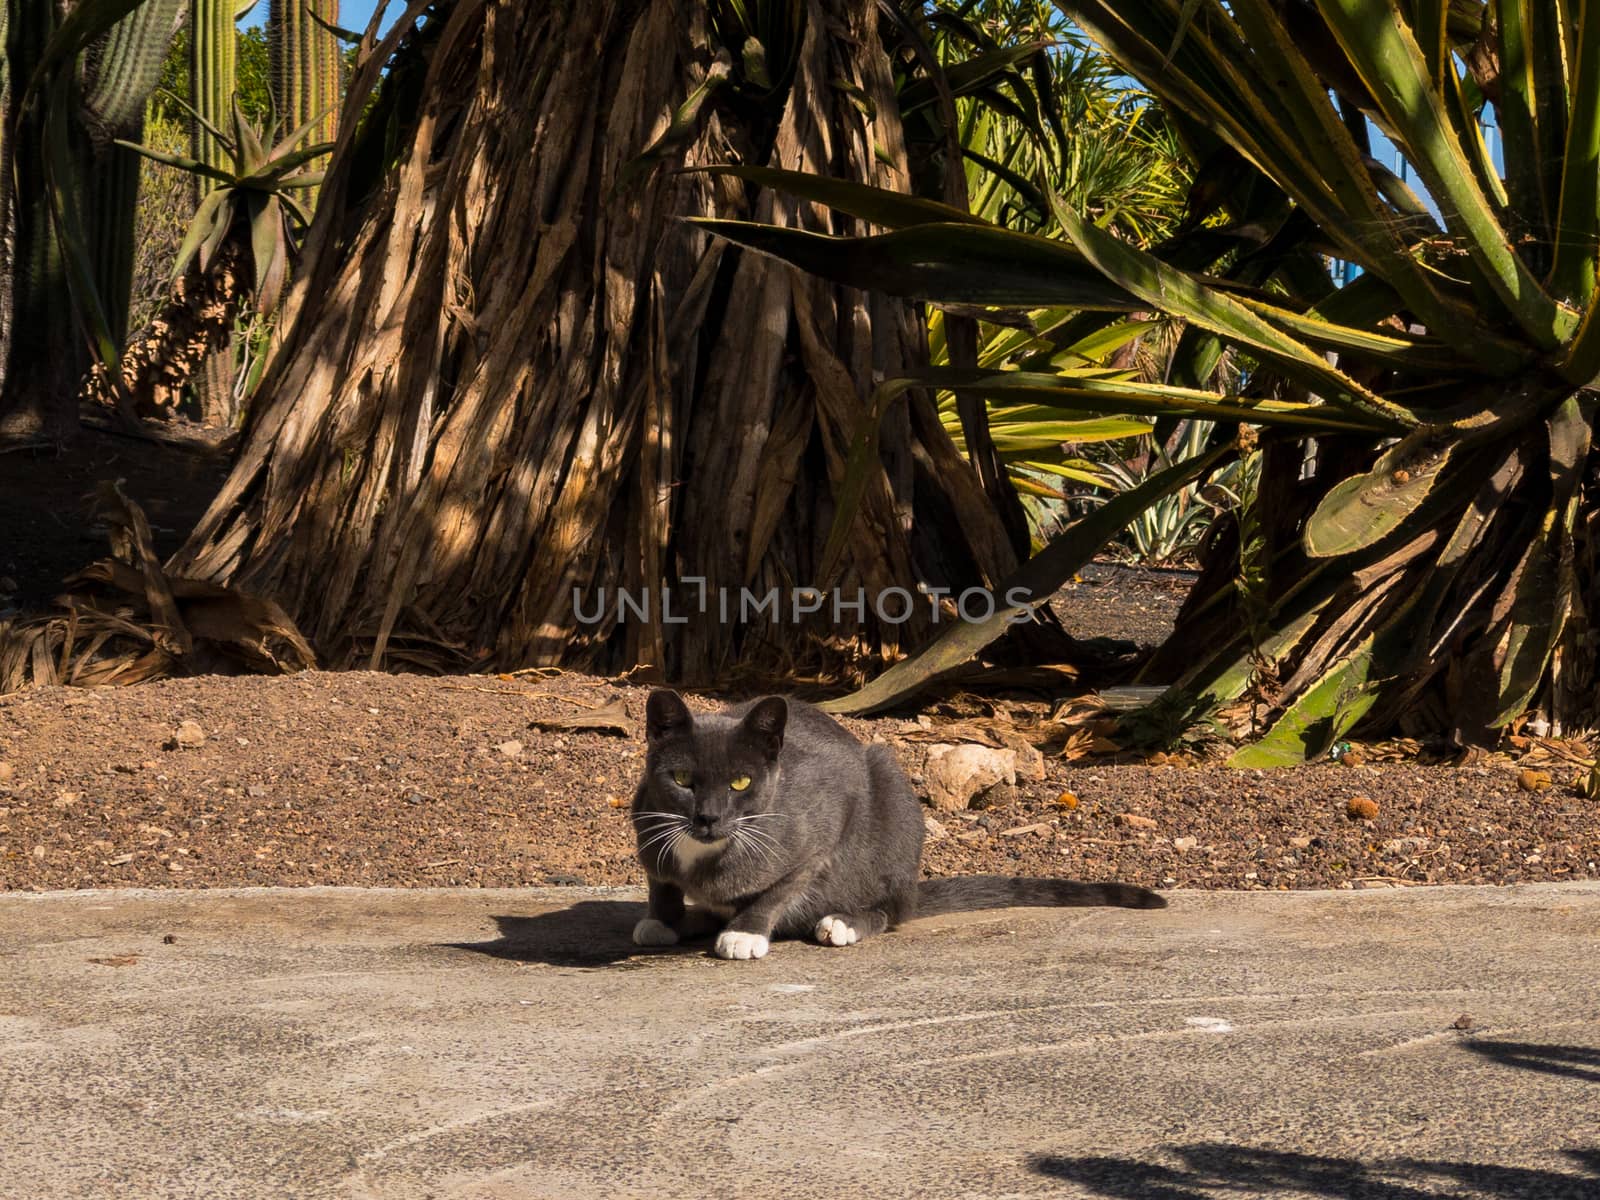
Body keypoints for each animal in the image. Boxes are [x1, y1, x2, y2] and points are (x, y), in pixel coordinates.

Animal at [630, 691, 1171, 966]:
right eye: (682, 780)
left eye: (740, 782)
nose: (708, 817)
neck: (706, 851)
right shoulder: (648, 825)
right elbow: (661, 882)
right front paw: (663, 919)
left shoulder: (823, 829)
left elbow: (781, 888)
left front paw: (745, 933)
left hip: (889, 784)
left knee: (889, 909)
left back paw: (842, 922)